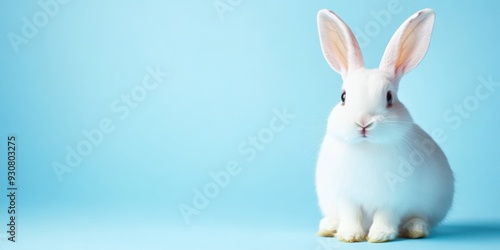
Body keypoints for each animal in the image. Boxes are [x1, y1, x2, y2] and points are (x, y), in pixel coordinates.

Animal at [318, 8, 456, 242]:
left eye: (389, 98)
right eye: (343, 97)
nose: (363, 123)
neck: (367, 147)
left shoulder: (394, 199)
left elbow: (386, 216)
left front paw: (379, 235)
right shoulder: (346, 197)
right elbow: (350, 215)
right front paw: (350, 235)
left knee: (421, 219)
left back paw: (415, 229)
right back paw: (328, 227)